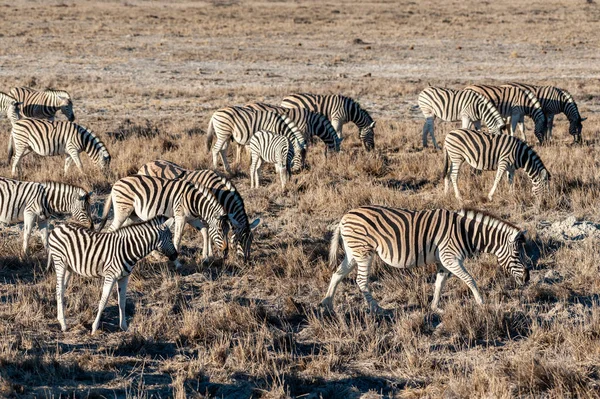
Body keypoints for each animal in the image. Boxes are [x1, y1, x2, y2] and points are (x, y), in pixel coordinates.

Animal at [48, 216, 177, 334]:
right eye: (171, 238)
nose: (176, 255)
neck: (128, 249)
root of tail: (59, 226)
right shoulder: (111, 276)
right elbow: (103, 301)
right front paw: (94, 328)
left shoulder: (124, 277)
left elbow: (122, 301)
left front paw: (124, 327)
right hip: (60, 261)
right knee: (59, 288)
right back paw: (63, 324)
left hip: (69, 267)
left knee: (62, 289)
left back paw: (61, 320)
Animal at [97, 175, 231, 268]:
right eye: (220, 230)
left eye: (228, 231)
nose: (226, 252)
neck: (194, 200)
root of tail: (116, 183)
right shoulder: (180, 217)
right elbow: (177, 238)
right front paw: (176, 262)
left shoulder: (192, 218)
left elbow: (205, 230)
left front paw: (206, 257)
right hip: (122, 211)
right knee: (111, 230)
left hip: (132, 215)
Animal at [324, 206, 528, 316]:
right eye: (518, 255)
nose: (527, 279)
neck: (466, 233)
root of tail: (344, 217)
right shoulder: (450, 257)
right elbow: (470, 279)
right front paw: (481, 302)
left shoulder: (444, 262)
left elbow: (439, 284)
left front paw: (436, 308)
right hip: (363, 252)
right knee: (361, 281)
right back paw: (377, 309)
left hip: (353, 253)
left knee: (337, 274)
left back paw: (327, 304)